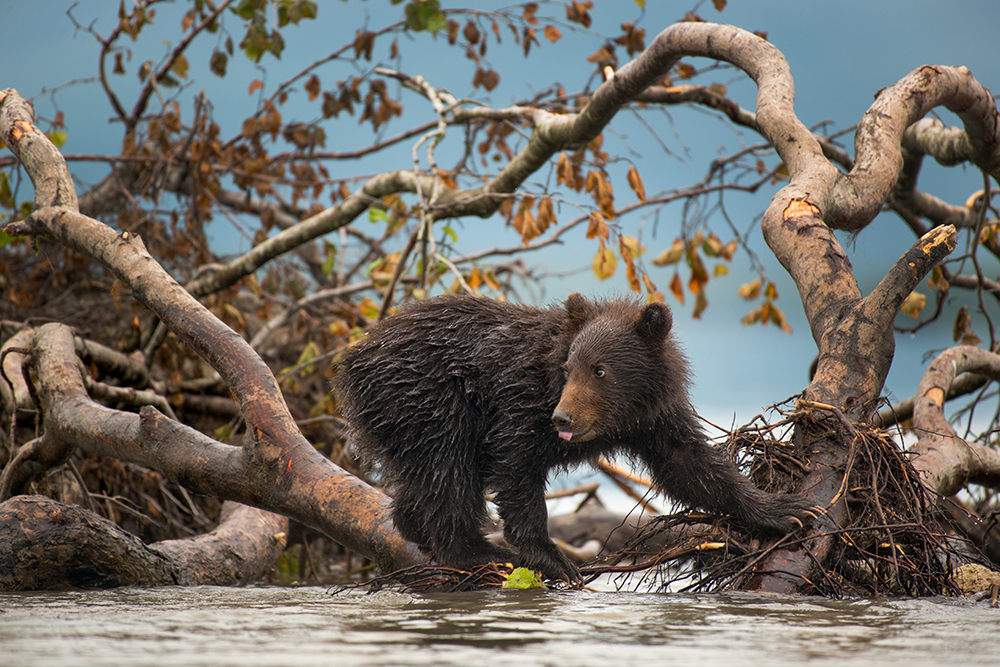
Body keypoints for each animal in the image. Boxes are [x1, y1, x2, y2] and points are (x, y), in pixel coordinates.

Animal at [336, 293, 816, 584]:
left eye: (600, 369)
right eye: (570, 367)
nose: (563, 416)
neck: (618, 416)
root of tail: (354, 354)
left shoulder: (654, 418)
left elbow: (690, 465)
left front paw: (788, 509)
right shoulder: (521, 401)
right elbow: (517, 467)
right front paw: (555, 557)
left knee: (426, 475)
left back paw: (415, 526)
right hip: (428, 397)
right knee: (447, 466)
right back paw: (474, 550)